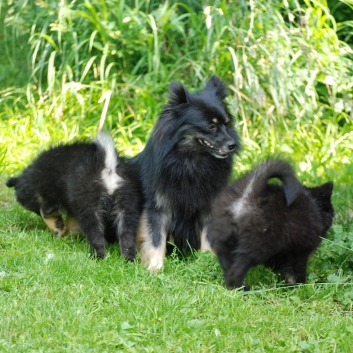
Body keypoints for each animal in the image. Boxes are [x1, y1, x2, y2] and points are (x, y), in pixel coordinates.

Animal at [6, 132, 141, 258]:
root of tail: (108, 165)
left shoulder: (51, 198)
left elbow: (46, 213)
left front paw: (58, 229)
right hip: (127, 204)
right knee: (127, 234)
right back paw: (127, 259)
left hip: (89, 205)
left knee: (96, 234)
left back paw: (97, 256)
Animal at [129, 75, 239, 270]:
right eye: (211, 126)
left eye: (227, 124)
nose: (232, 144)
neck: (192, 161)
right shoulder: (157, 207)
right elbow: (155, 239)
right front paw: (154, 269)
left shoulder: (209, 207)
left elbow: (208, 239)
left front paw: (207, 264)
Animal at [209, 160, 332, 288]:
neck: (315, 206)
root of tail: (250, 192)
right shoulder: (299, 251)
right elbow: (296, 271)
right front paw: (298, 286)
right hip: (259, 244)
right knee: (237, 269)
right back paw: (241, 287)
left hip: (225, 237)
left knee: (226, 262)